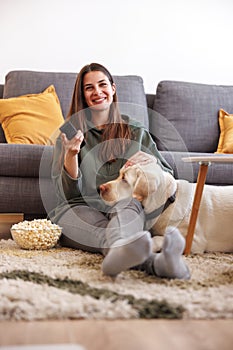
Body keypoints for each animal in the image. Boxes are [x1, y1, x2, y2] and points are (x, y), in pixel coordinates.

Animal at [99, 160, 233, 253]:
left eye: (124, 179)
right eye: (119, 175)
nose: (99, 188)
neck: (168, 202)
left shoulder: (194, 241)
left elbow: (160, 238)